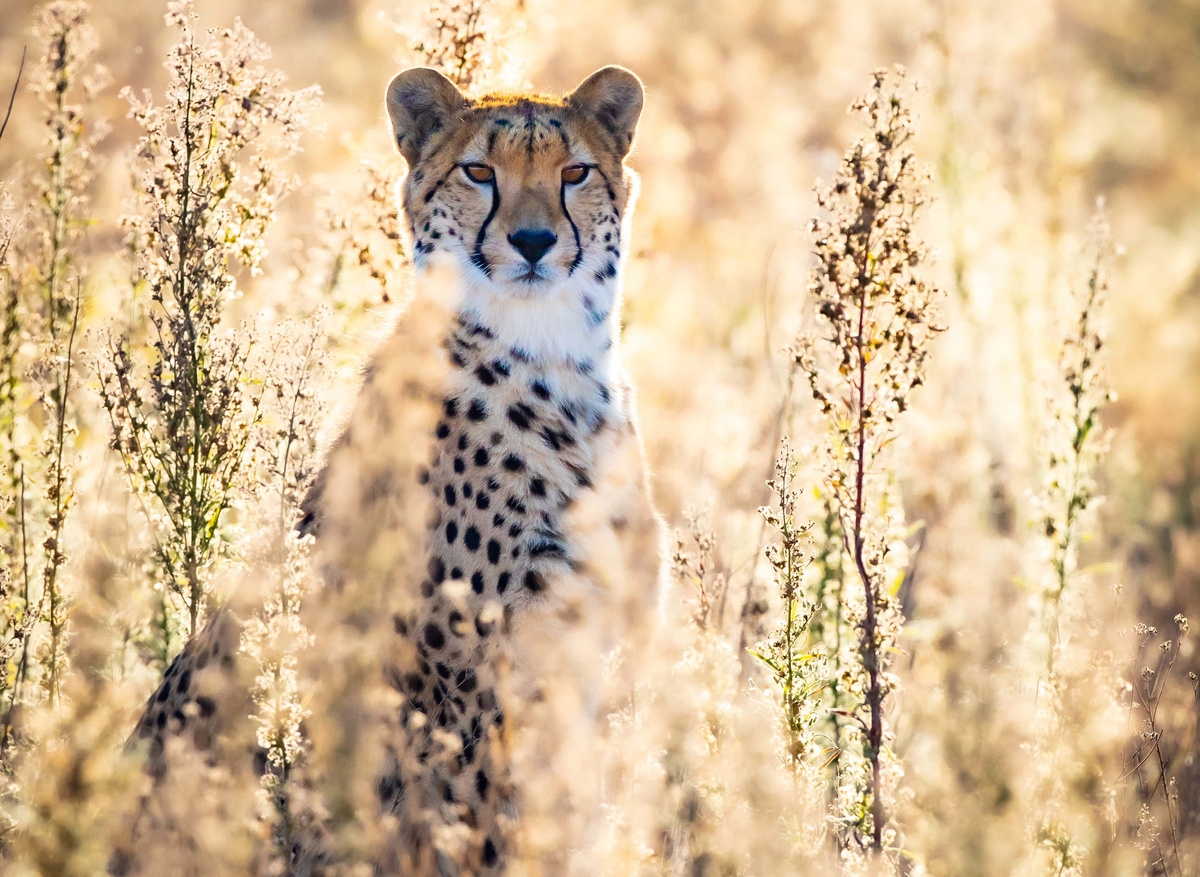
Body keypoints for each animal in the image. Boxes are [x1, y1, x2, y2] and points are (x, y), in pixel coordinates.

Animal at [126, 64, 664, 876]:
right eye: (479, 172)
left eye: (575, 173)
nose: (534, 240)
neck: (555, 360)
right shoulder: (473, 701)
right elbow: (489, 835)